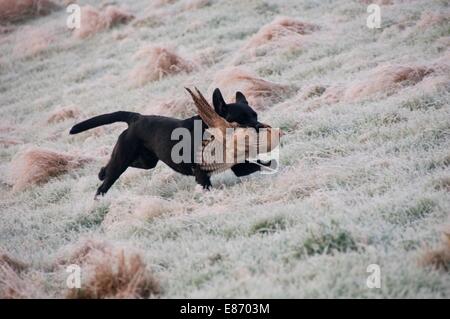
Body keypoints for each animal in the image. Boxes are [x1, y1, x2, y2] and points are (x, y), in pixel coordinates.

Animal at [69, 88, 272, 198]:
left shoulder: (239, 167)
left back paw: (101, 173)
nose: (261, 127)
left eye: (255, 115)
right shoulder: (201, 173)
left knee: (114, 168)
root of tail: (136, 118)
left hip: (147, 161)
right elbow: (205, 185)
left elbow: (260, 165)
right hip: (122, 161)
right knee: (104, 185)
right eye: (240, 120)